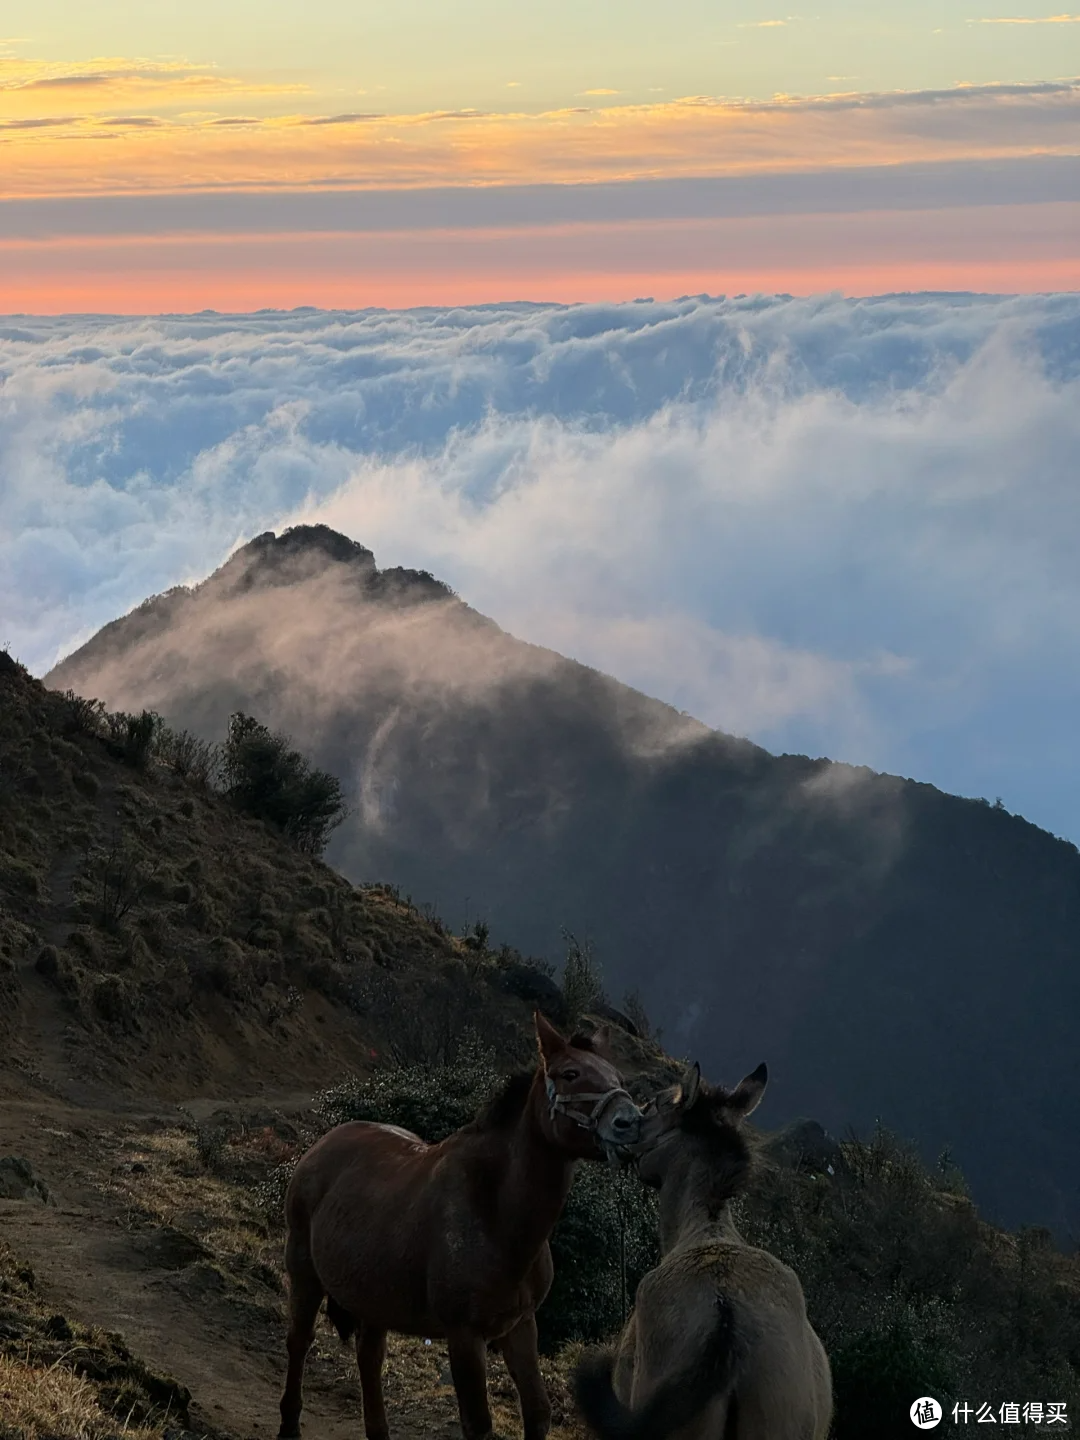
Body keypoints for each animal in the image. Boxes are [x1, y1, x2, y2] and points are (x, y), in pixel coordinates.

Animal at [276, 1013, 642, 1440]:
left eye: (617, 1076)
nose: (632, 1123)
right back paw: (288, 1424)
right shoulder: (464, 1335)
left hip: (372, 1294)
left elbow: (538, 1410)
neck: (496, 1215)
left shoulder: (520, 1326)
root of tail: (323, 1143)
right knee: (299, 1341)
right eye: (571, 1074)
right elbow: (477, 1423)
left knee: (369, 1357)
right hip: (304, 1272)